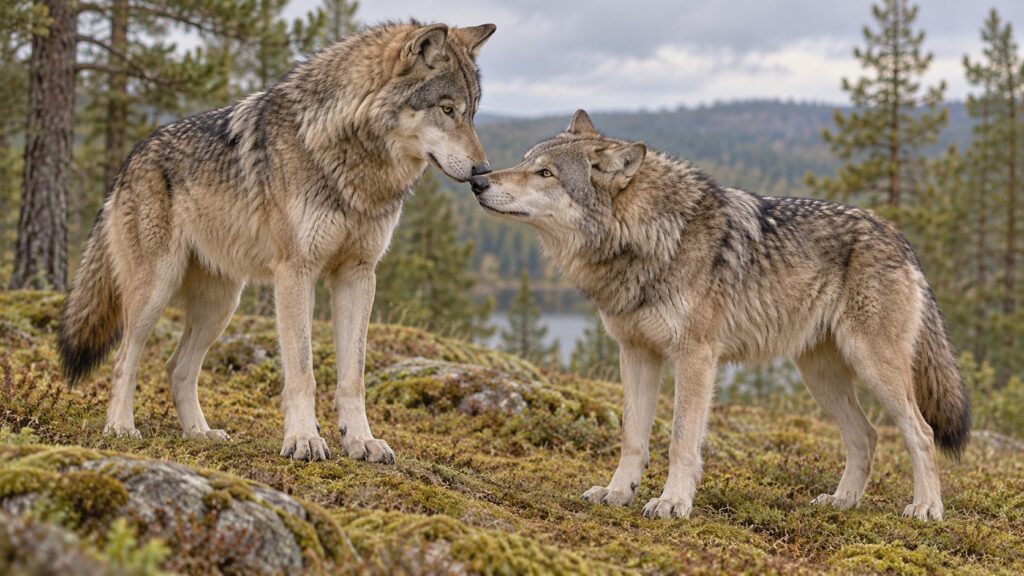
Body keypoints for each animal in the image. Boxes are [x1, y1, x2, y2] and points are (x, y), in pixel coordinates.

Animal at [57, 21, 497, 463]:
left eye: (472, 113)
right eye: (446, 109)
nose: (483, 172)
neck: (352, 163)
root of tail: (131, 159)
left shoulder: (358, 274)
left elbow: (353, 377)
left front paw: (361, 440)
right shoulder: (296, 272)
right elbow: (302, 371)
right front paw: (303, 439)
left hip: (221, 306)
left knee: (177, 367)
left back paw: (200, 433)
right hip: (156, 290)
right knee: (124, 360)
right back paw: (120, 427)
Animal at [470, 110, 970, 520]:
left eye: (545, 173)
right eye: (525, 161)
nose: (478, 180)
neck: (655, 238)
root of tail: (898, 237)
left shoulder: (696, 357)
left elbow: (680, 440)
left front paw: (672, 502)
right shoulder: (636, 353)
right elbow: (633, 438)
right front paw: (617, 493)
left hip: (874, 368)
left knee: (920, 432)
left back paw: (926, 508)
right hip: (819, 376)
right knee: (866, 435)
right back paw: (842, 501)